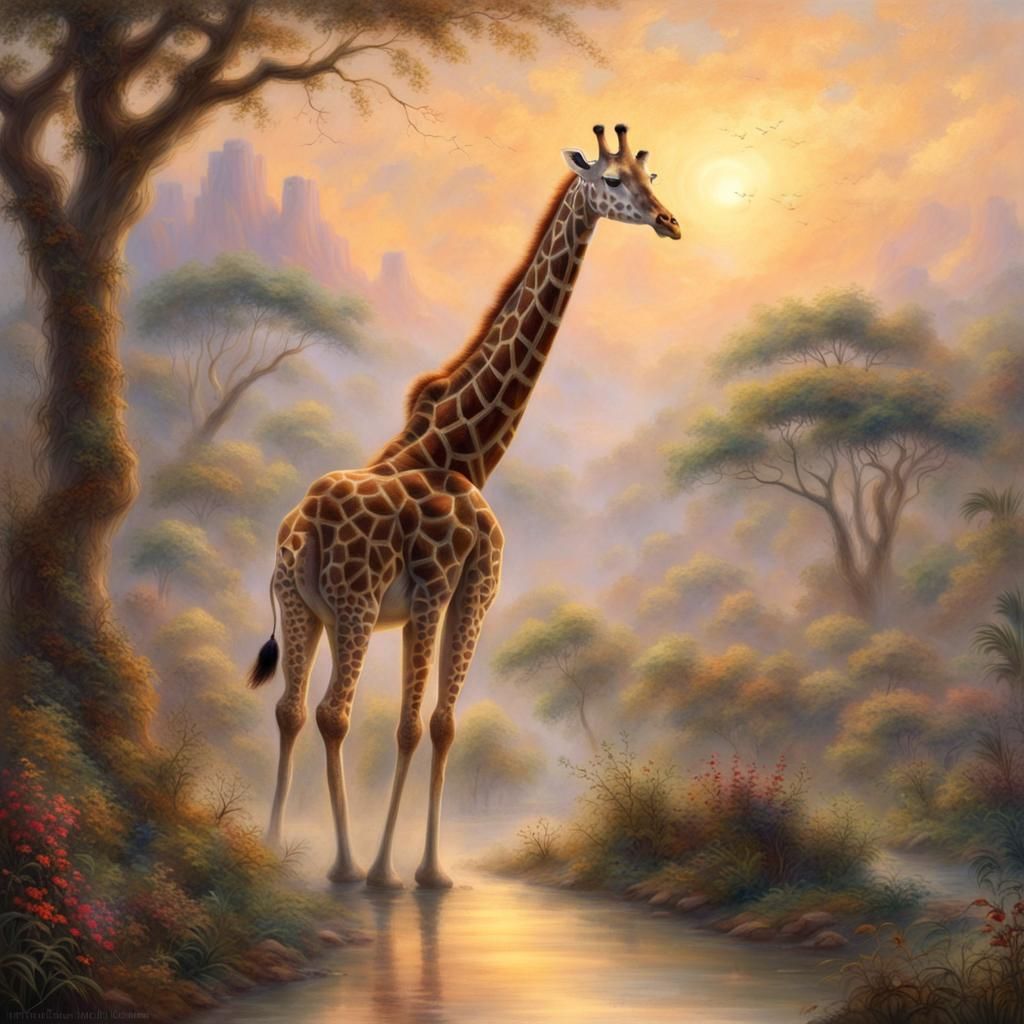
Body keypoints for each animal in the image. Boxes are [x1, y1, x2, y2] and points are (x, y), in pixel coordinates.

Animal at [248, 123, 681, 889]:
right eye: (612, 181)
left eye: (647, 175)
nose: (670, 222)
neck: (465, 450)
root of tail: (298, 534)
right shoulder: (458, 589)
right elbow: (426, 724)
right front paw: (410, 871)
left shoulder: (434, 599)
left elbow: (430, 725)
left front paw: (417, 867)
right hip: (356, 605)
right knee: (333, 712)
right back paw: (347, 866)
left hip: (304, 608)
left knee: (291, 709)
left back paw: (274, 848)